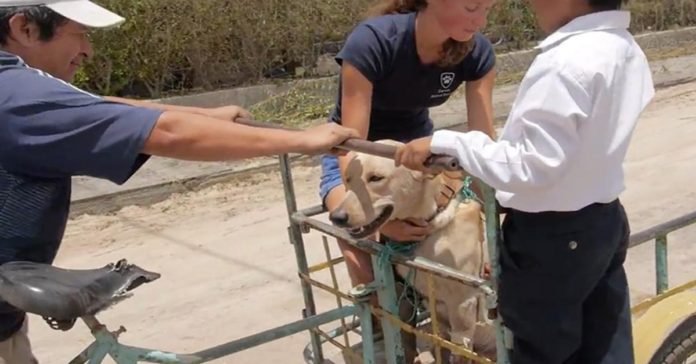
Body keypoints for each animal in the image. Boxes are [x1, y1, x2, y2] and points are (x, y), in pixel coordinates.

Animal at [330, 139, 498, 362]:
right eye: (348, 179)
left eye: (376, 178)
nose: (336, 217)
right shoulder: (405, 298)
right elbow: (413, 344)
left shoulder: (463, 308)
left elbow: (458, 353)